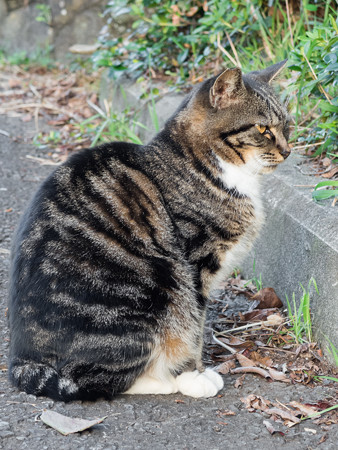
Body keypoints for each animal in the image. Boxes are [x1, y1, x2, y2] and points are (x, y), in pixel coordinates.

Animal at [7, 59, 290, 400]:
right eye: (263, 129)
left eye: (287, 126)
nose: (288, 150)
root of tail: (23, 359)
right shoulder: (196, 265)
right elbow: (195, 329)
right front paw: (194, 374)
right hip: (157, 287)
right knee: (92, 380)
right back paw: (164, 380)